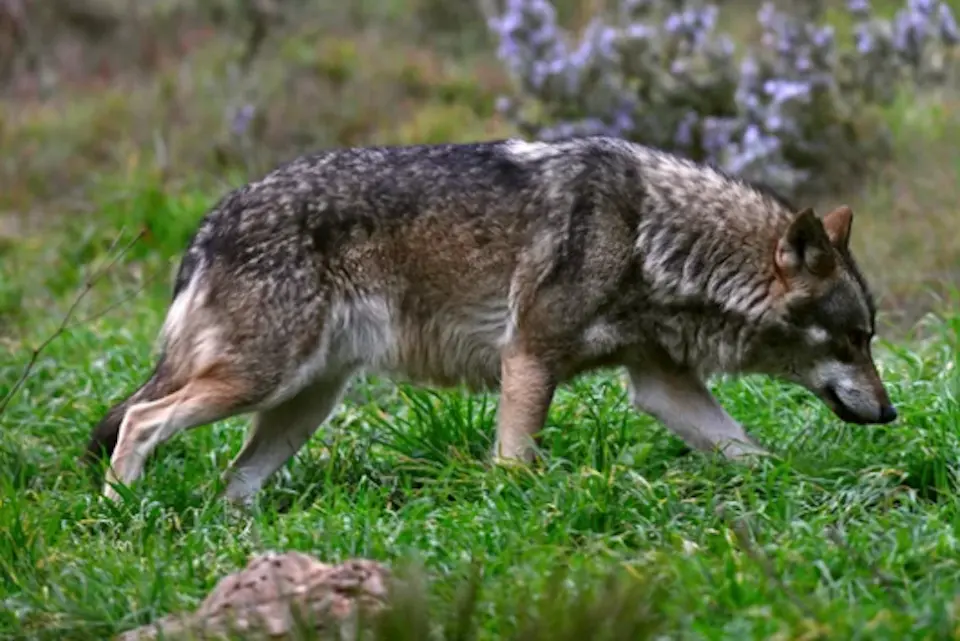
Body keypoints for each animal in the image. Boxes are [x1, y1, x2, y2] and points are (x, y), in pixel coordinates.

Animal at [82, 136, 897, 504]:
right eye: (855, 339)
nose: (891, 414)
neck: (654, 235)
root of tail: (210, 222)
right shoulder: (529, 356)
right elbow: (514, 461)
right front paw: (512, 511)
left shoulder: (660, 385)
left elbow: (753, 452)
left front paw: (814, 487)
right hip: (259, 381)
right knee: (140, 421)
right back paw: (126, 513)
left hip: (301, 405)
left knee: (231, 483)